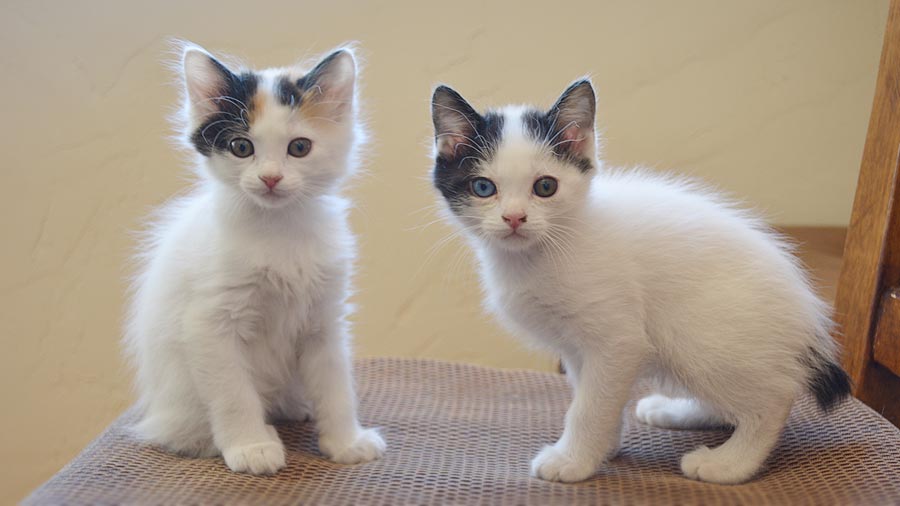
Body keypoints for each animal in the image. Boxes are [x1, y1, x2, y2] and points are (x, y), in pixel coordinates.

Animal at [123, 43, 384, 474]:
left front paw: (345, 442)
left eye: (299, 147)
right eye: (241, 147)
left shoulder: (324, 320)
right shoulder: (210, 324)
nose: (271, 178)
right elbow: (233, 394)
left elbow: (335, 387)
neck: (280, 230)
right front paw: (251, 447)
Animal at [428, 81, 852, 484]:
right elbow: (593, 395)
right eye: (484, 187)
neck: (541, 253)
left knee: (774, 397)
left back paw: (729, 463)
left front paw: (572, 460)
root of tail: (808, 317)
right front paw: (601, 448)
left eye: (545, 186)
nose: (515, 218)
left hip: (701, 334)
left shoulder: (618, 340)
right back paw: (674, 410)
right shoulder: (578, 348)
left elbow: (589, 405)